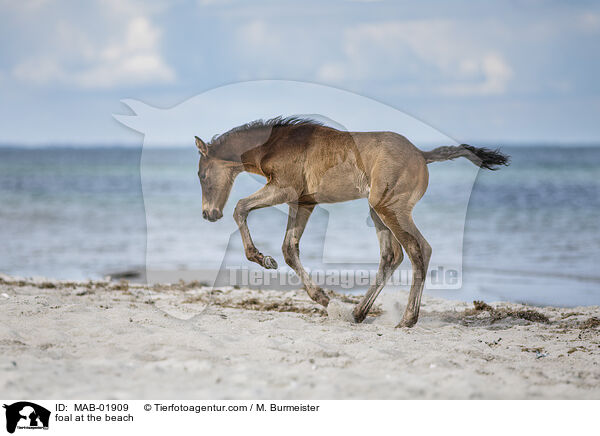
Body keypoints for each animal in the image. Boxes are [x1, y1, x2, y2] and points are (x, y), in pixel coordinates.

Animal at [196, 116, 506, 328]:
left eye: (201, 175)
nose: (208, 214)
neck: (276, 143)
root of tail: (422, 154)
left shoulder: (284, 189)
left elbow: (240, 208)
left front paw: (262, 258)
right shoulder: (303, 202)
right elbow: (289, 249)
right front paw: (323, 299)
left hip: (390, 208)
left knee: (418, 250)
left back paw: (407, 319)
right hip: (377, 211)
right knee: (392, 256)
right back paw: (358, 313)